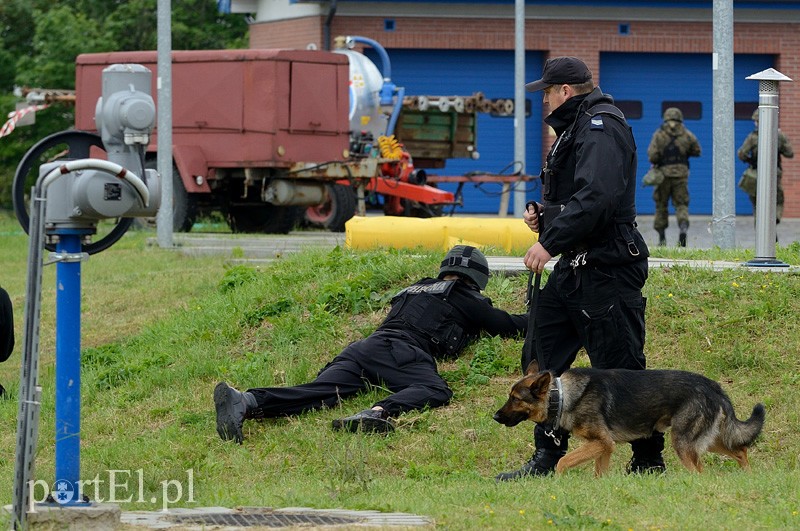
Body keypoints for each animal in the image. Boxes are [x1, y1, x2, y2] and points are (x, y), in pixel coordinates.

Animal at [494, 362, 768, 478]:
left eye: (515, 399)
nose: (495, 416)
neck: (560, 396)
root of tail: (713, 386)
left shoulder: (602, 443)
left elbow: (563, 461)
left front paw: (559, 481)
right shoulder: (603, 448)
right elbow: (599, 474)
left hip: (683, 443)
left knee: (701, 471)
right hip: (708, 440)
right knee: (741, 450)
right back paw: (749, 477)